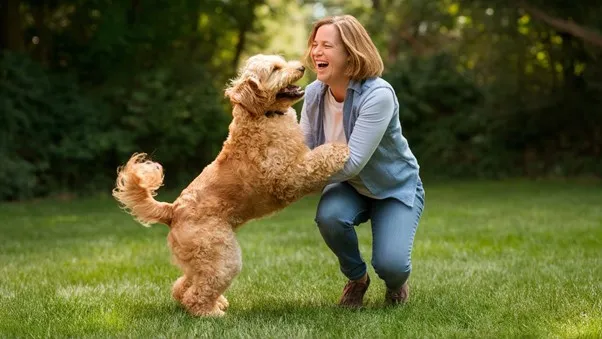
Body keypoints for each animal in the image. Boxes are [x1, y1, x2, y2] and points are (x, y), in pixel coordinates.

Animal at [111, 54, 346, 318]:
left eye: (282, 62)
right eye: (275, 69)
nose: (302, 67)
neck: (262, 115)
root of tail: (173, 210)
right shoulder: (286, 176)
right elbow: (316, 160)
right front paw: (340, 149)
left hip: (202, 260)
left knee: (183, 285)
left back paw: (216, 303)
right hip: (222, 256)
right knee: (196, 293)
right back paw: (212, 314)